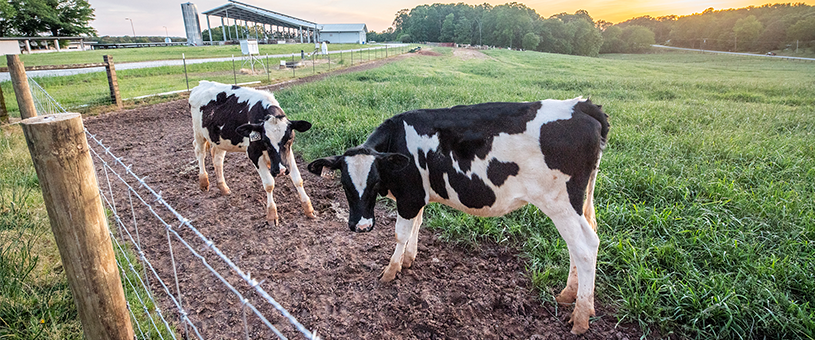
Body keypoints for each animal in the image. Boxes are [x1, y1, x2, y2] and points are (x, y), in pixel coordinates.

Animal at [190, 80, 316, 224]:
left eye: (289, 138)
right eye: (265, 140)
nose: (281, 170)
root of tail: (201, 84)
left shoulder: (287, 154)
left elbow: (297, 179)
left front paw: (308, 209)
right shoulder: (253, 153)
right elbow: (269, 184)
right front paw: (272, 215)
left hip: (220, 140)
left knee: (217, 159)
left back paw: (223, 187)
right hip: (199, 133)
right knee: (199, 152)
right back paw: (203, 181)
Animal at [310, 97, 608, 334]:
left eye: (373, 183)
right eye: (345, 184)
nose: (361, 226)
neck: (398, 143)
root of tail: (581, 106)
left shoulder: (410, 197)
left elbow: (400, 234)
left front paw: (390, 271)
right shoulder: (419, 197)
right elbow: (417, 225)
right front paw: (408, 259)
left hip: (560, 203)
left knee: (585, 246)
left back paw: (581, 316)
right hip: (574, 204)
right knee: (580, 244)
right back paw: (569, 295)